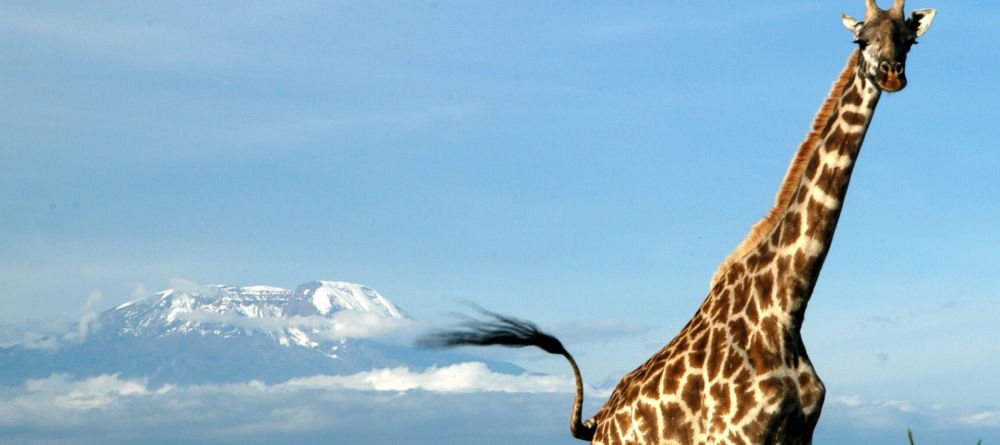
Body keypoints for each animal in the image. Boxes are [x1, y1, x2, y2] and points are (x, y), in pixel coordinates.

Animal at [422, 1, 936, 442]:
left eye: (908, 38)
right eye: (859, 40)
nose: (891, 75)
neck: (786, 310)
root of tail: (596, 423)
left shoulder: (799, 436)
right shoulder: (737, 437)